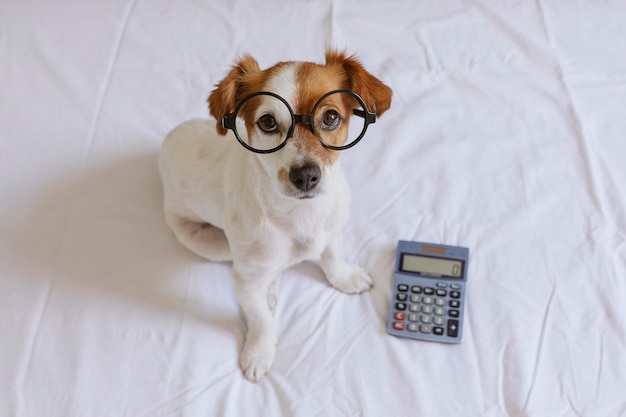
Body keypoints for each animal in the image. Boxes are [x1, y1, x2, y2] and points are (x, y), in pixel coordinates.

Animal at [157, 50, 390, 382]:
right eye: (267, 121)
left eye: (330, 117)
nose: (305, 176)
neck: (301, 215)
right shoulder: (245, 278)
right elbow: (261, 320)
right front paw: (259, 351)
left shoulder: (331, 229)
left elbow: (331, 257)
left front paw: (344, 277)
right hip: (211, 244)